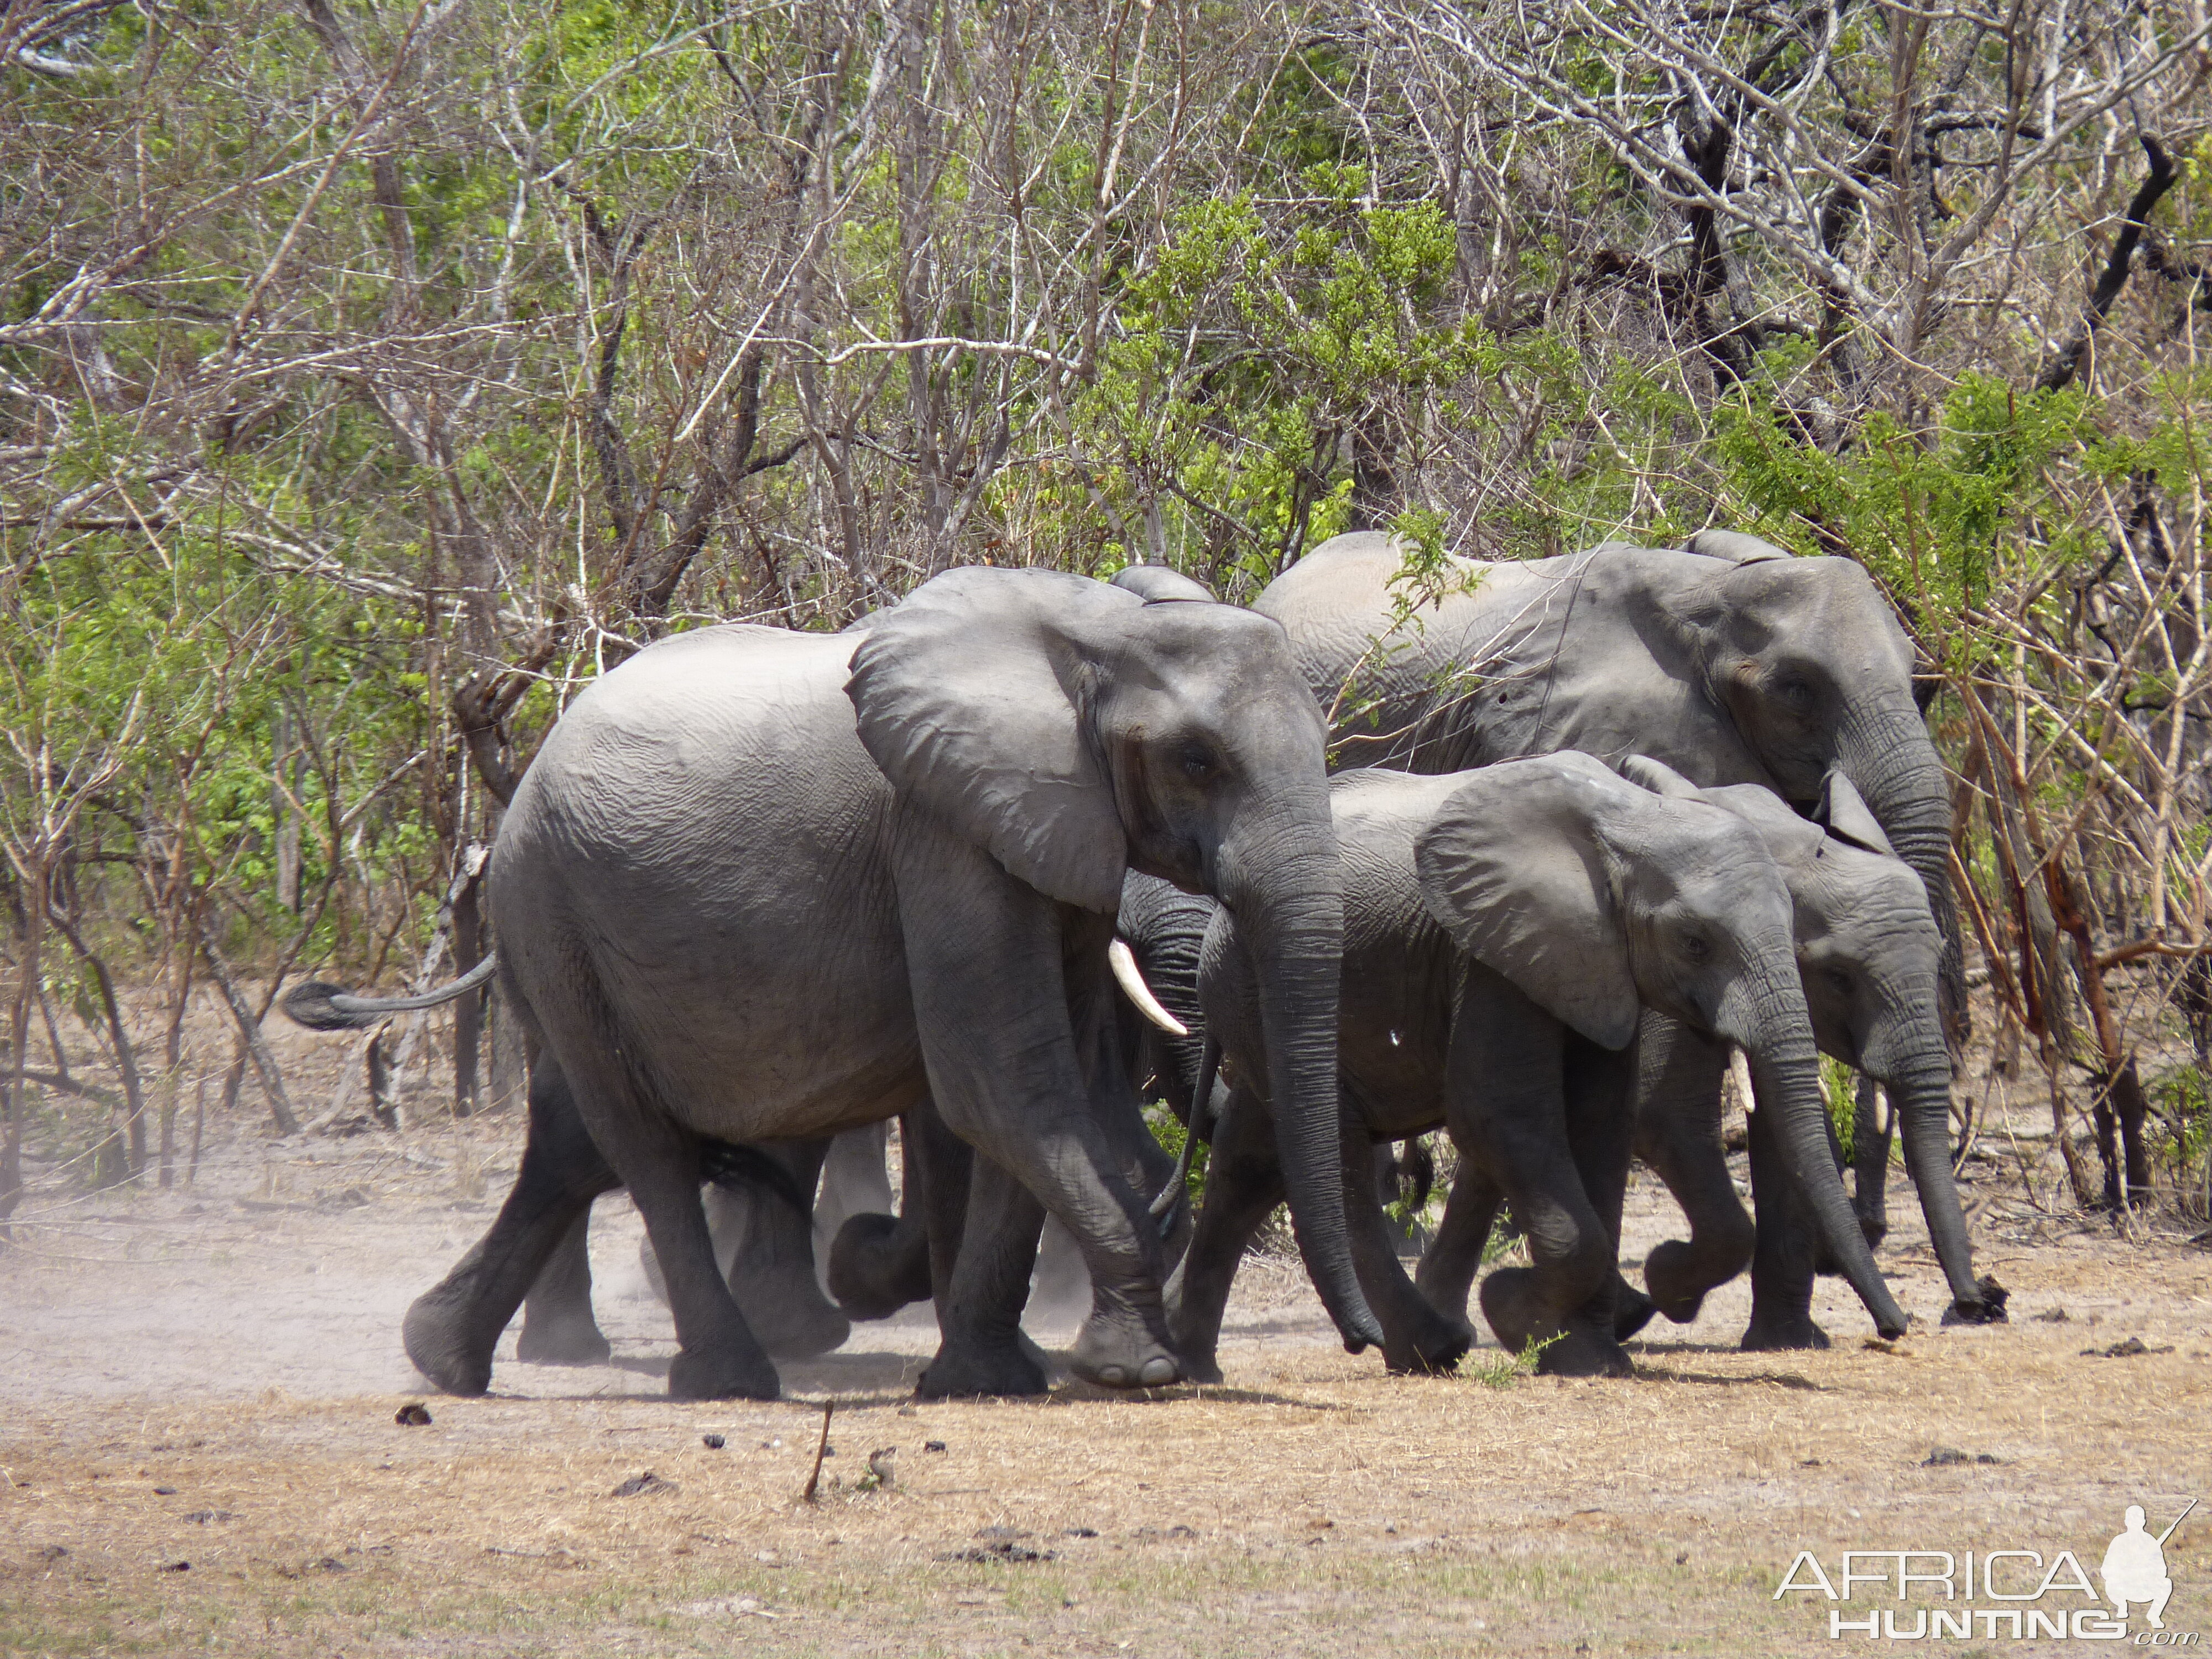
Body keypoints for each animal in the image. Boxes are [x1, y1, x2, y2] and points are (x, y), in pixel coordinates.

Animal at [383, 571, 1380, 1407]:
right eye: (1198, 761)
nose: (1364, 1343)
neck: (1092, 628)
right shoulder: (939, 826)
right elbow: (1002, 1083)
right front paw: (1133, 1371)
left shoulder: (1042, 839)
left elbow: (1037, 1093)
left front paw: (988, 1378)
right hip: (549, 907)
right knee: (641, 1143)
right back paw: (729, 1380)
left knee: (573, 1137)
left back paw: (442, 1357)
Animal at [1168, 752, 1911, 1380]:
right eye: (1694, 943)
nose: (1895, 1329)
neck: (1631, 820)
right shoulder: (1490, 951)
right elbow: (1497, 1113)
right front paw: (1517, 1312)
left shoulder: (1595, 961)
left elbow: (1602, 1121)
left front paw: (1589, 1353)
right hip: (1260, 985)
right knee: (1337, 1150)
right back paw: (1430, 1349)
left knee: (1251, 1156)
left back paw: (1188, 1363)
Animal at [1256, 529, 2000, 1327]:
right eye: (1796, 689)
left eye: (1919, 681)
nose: (1977, 1303)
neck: (1710, 594)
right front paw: (1652, 1293)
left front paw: (1776, 1330)